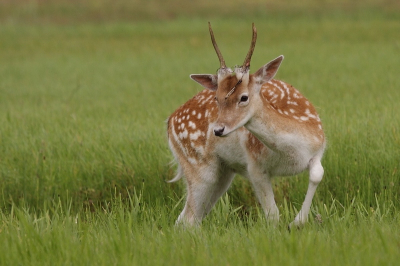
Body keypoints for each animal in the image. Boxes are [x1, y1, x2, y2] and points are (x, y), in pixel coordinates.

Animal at [166, 22, 324, 229]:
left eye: (244, 97)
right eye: (216, 98)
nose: (218, 130)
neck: (293, 154)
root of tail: (169, 122)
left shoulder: (318, 148)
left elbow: (317, 174)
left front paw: (297, 222)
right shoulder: (254, 165)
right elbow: (273, 215)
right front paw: (288, 226)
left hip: (223, 173)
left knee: (186, 219)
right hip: (197, 165)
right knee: (189, 218)